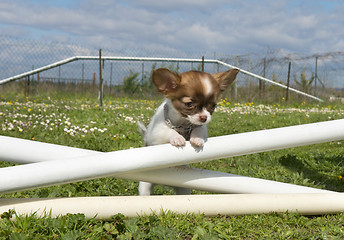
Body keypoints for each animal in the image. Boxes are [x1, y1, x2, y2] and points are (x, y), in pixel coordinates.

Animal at [138, 67, 238, 195]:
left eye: (213, 106)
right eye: (189, 104)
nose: (204, 117)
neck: (183, 123)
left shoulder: (200, 127)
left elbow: (198, 129)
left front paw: (197, 139)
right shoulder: (158, 133)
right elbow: (169, 131)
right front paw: (177, 138)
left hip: (183, 187)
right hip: (145, 185)